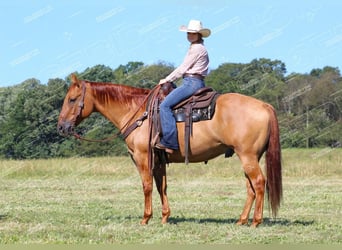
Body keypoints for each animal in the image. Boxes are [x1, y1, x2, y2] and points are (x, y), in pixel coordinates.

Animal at [57, 73, 282, 227]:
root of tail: (264, 105)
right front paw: (165, 217)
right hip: (249, 157)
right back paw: (242, 220)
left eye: (71, 99)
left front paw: (145, 218)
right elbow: (161, 186)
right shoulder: (159, 160)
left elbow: (147, 186)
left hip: (248, 156)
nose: (61, 127)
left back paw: (256, 221)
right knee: (250, 187)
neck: (138, 112)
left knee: (259, 183)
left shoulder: (143, 157)